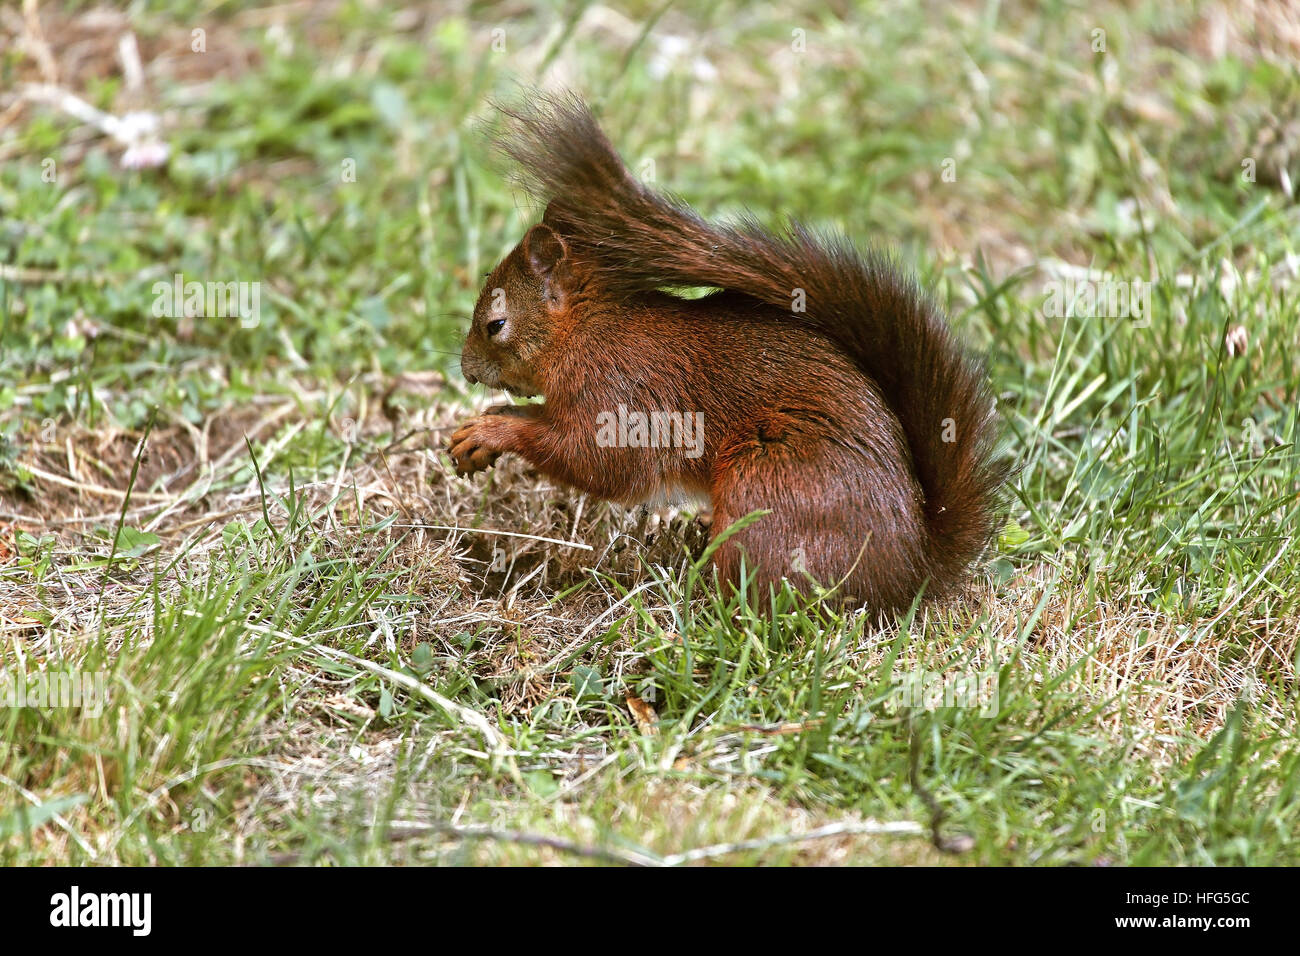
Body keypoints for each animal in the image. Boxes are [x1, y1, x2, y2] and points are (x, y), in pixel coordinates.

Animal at [447, 89, 1003, 613]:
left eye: (496, 325)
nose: (468, 371)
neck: (586, 332)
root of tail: (911, 574)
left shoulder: (621, 393)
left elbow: (599, 460)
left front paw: (492, 430)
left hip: (766, 485)